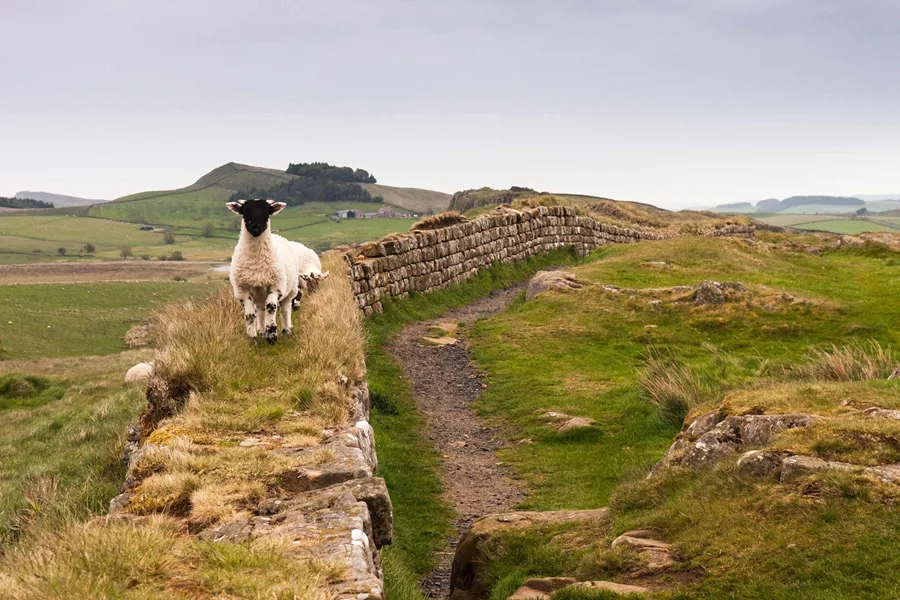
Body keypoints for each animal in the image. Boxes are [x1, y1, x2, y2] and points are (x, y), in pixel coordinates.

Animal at [226, 199, 302, 344]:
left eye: (267, 213)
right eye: (245, 212)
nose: (256, 227)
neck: (257, 262)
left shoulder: (276, 286)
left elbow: (271, 308)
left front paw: (272, 335)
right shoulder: (242, 290)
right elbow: (250, 315)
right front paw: (253, 338)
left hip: (290, 290)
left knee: (285, 309)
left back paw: (286, 330)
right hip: (259, 295)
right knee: (261, 311)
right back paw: (261, 331)